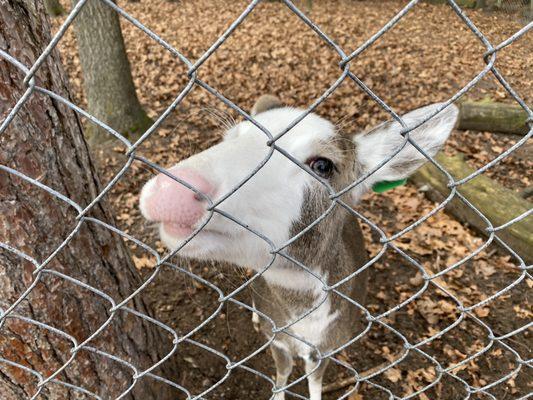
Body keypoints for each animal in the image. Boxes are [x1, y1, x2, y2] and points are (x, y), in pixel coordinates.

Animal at [138, 95, 458, 398]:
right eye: (230, 137)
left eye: (323, 165)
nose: (169, 191)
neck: (305, 326)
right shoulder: (278, 339)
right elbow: (282, 374)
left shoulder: (328, 347)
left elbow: (314, 383)